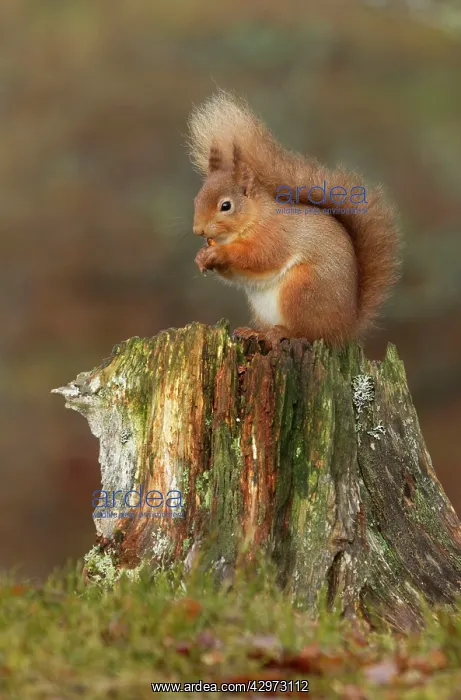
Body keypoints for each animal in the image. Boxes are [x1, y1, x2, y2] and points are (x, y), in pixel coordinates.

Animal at [188, 91, 400, 346]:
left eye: (226, 206)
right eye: (196, 199)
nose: (198, 231)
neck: (253, 220)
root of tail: (345, 327)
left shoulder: (274, 236)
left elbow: (258, 256)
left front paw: (218, 253)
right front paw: (201, 256)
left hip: (302, 290)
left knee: (308, 331)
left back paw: (281, 333)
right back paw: (256, 332)